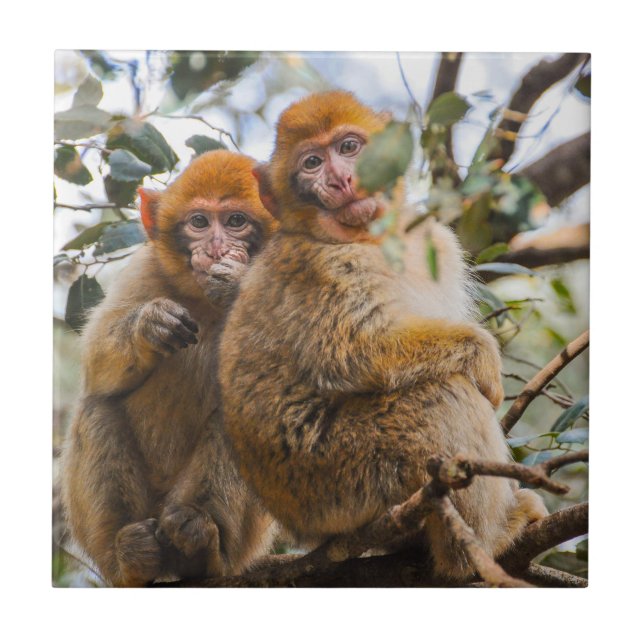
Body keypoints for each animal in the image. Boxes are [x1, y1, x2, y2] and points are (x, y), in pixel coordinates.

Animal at [61, 150, 278, 586]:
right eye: (199, 222)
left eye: (235, 221)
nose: (215, 248)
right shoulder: (145, 269)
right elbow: (96, 369)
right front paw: (149, 325)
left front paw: (236, 282)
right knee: (97, 407)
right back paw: (131, 558)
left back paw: (200, 543)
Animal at [218, 91, 547, 582]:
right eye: (312, 163)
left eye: (349, 147)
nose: (340, 179)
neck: (374, 238)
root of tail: (303, 529)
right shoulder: (323, 267)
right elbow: (355, 351)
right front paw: (484, 358)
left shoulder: (436, 240)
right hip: (340, 477)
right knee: (442, 395)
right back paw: (477, 548)